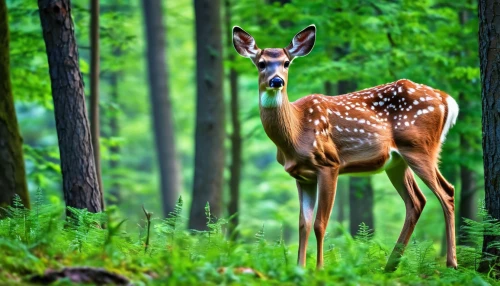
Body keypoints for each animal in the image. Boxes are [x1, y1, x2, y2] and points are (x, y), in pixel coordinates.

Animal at [232, 24, 458, 270]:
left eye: (286, 63)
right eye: (261, 63)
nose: (276, 81)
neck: (296, 132)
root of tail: (447, 100)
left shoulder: (329, 163)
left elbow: (320, 223)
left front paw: (319, 269)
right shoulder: (302, 176)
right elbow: (303, 223)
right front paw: (300, 268)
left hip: (419, 147)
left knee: (446, 192)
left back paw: (451, 263)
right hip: (398, 162)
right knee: (417, 201)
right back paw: (390, 266)